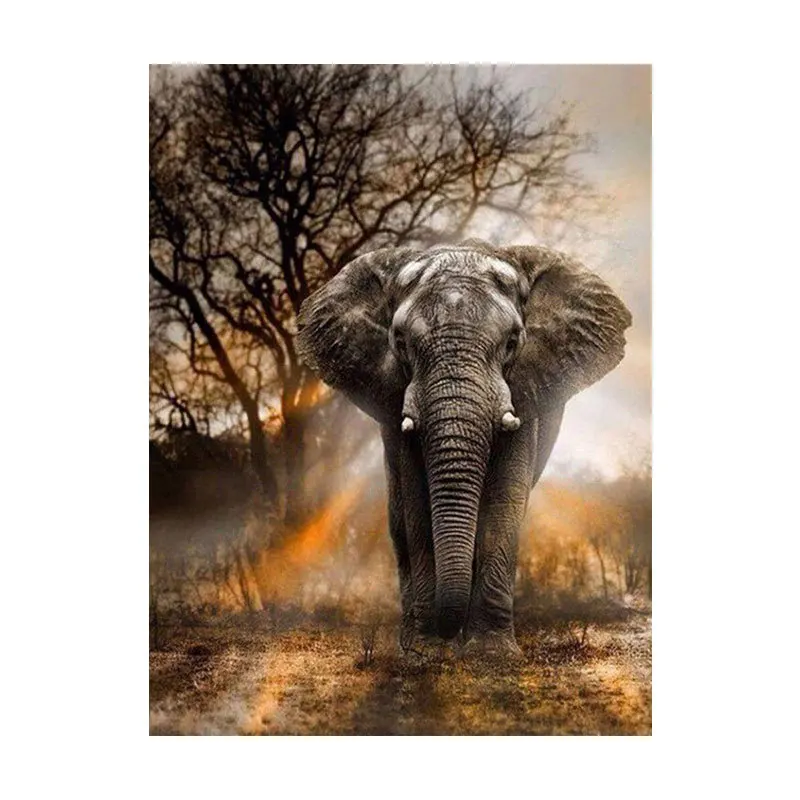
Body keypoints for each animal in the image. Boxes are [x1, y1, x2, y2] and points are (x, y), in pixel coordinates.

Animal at [296, 239, 631, 658]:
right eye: (400, 343)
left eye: (512, 343)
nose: (445, 634)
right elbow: (417, 503)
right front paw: (426, 652)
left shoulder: (524, 390)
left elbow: (504, 498)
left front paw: (492, 654)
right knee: (398, 519)